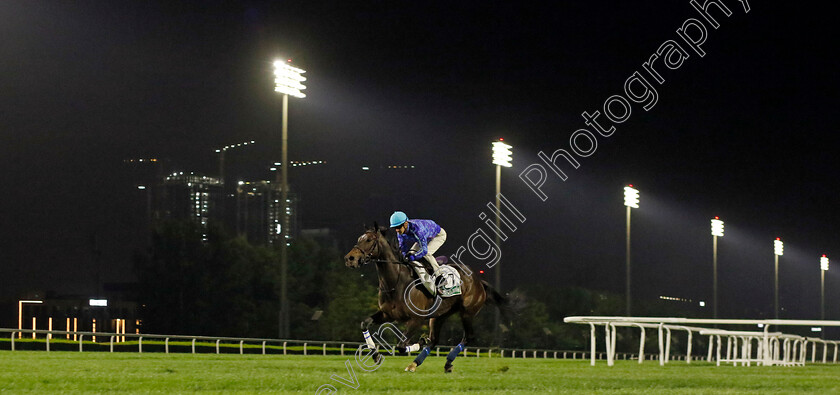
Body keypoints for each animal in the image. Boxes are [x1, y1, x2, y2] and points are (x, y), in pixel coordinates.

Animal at [342, 224, 506, 372]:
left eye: (369, 240)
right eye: (359, 239)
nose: (350, 258)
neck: (397, 281)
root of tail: (478, 281)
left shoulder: (417, 319)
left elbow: (401, 346)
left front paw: (420, 341)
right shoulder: (387, 314)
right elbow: (364, 324)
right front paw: (375, 356)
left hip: (467, 312)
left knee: (468, 337)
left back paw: (447, 361)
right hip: (439, 316)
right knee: (434, 340)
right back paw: (416, 364)